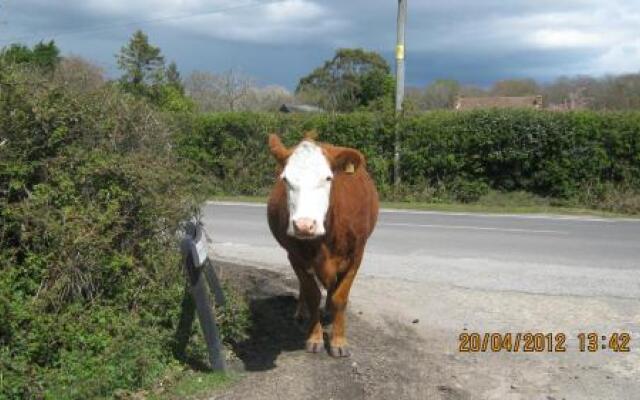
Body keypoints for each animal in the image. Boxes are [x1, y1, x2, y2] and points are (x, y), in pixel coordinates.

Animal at [266, 134, 378, 356]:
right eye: (285, 179)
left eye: (328, 178)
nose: (304, 225)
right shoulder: (295, 256)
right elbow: (312, 294)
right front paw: (314, 337)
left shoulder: (356, 256)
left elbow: (339, 298)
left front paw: (339, 341)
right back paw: (301, 312)